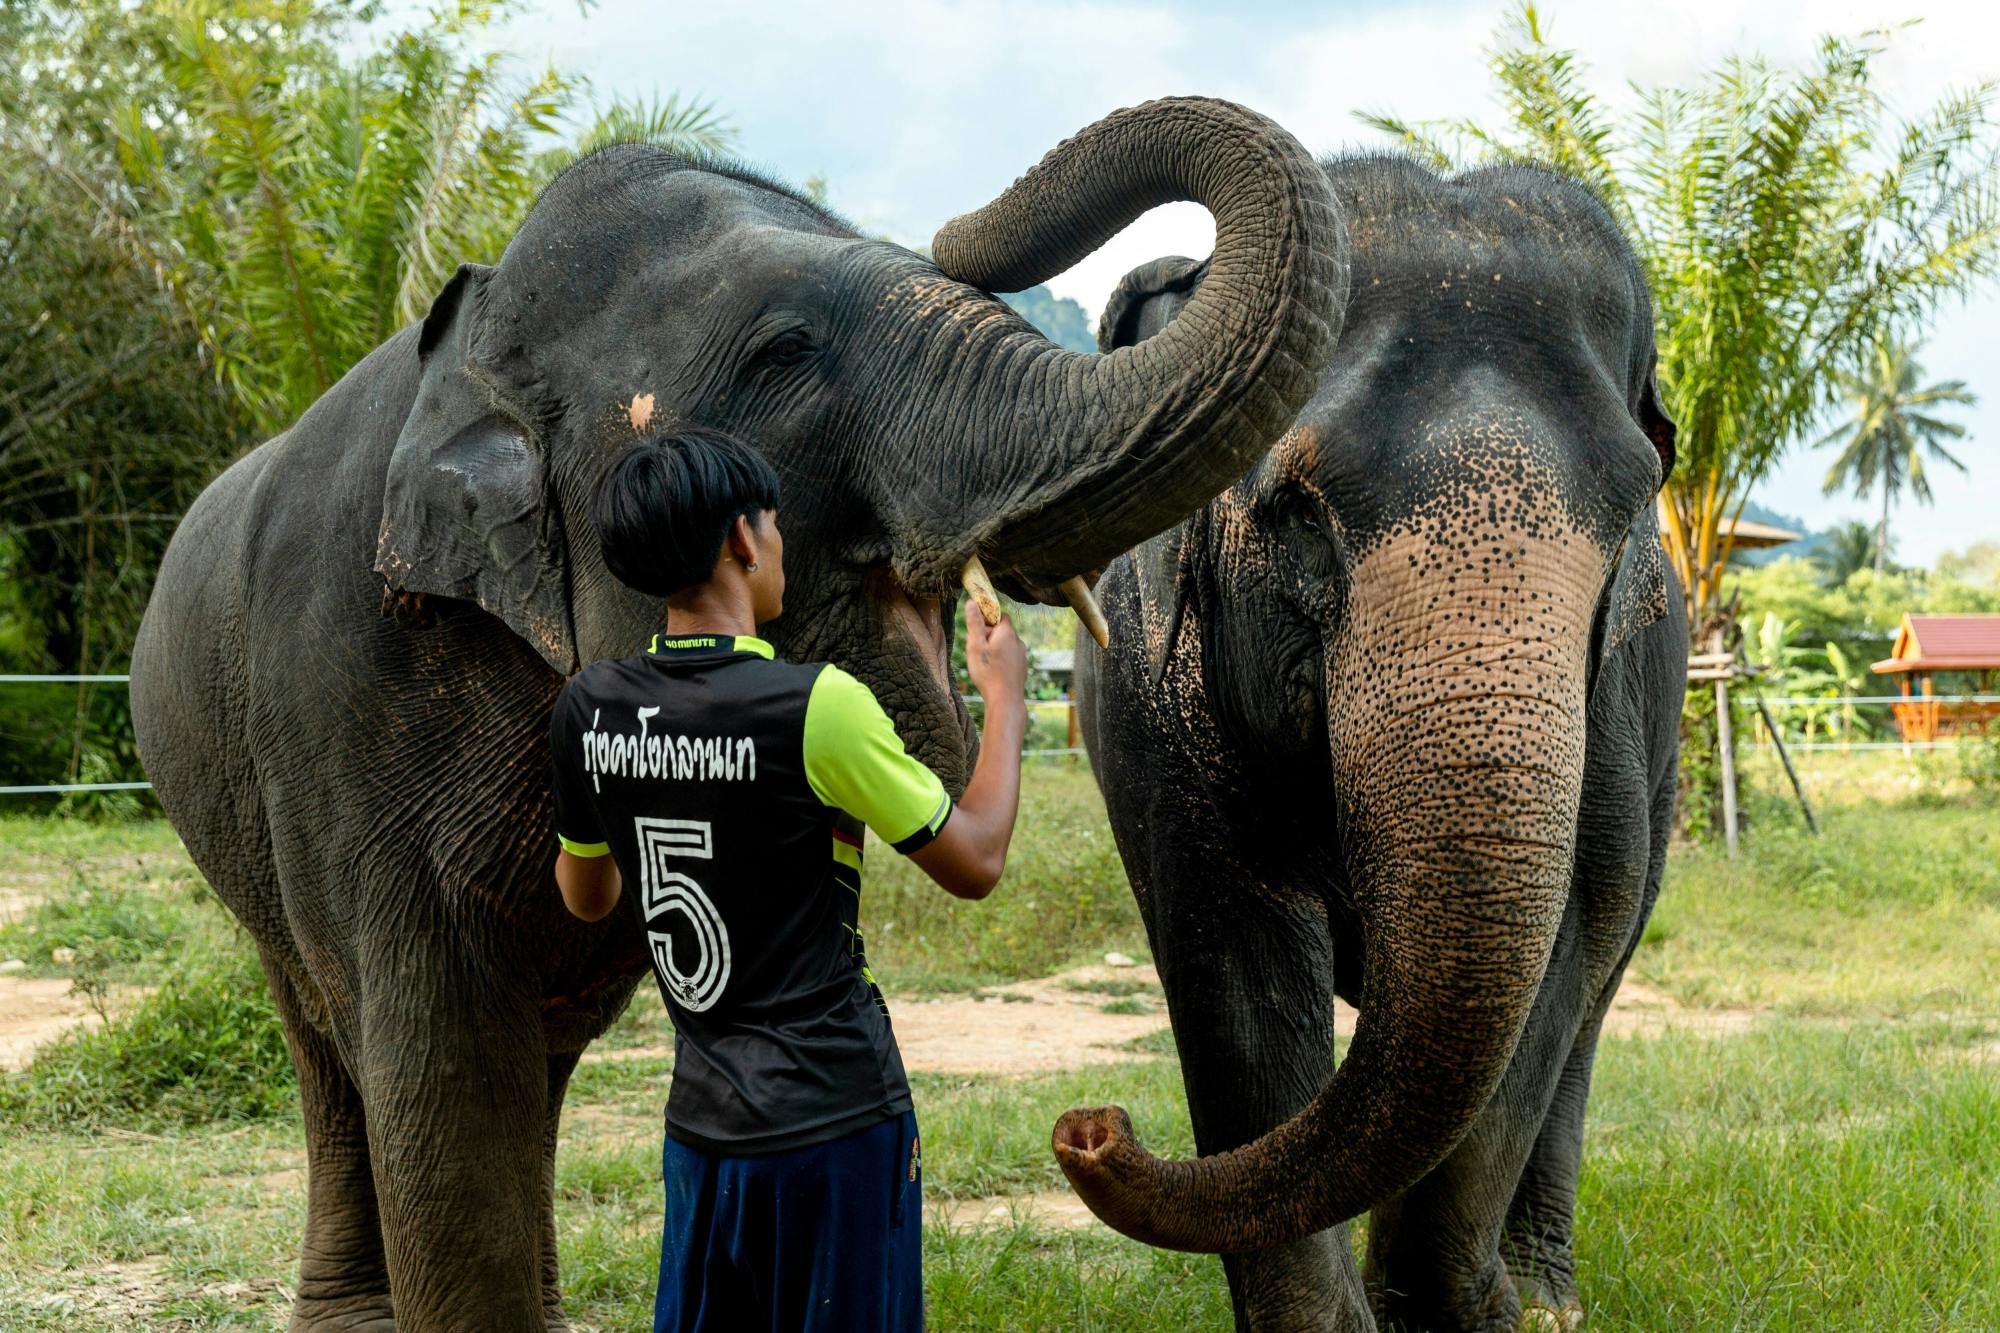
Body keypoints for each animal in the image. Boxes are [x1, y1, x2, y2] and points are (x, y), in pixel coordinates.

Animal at [125, 98, 1344, 1320]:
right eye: (784, 352)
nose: (963, 232)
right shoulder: (346, 695)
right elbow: (440, 1061)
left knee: (536, 1049)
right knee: (331, 1037)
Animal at [1064, 158, 1688, 1328]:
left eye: (1631, 508)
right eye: (1297, 510)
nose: (1090, 1129)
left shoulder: (1614, 715)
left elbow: (1564, 939)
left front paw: (1457, 1311)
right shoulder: (1150, 689)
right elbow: (1232, 952)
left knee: (1595, 990)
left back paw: (1547, 1296)